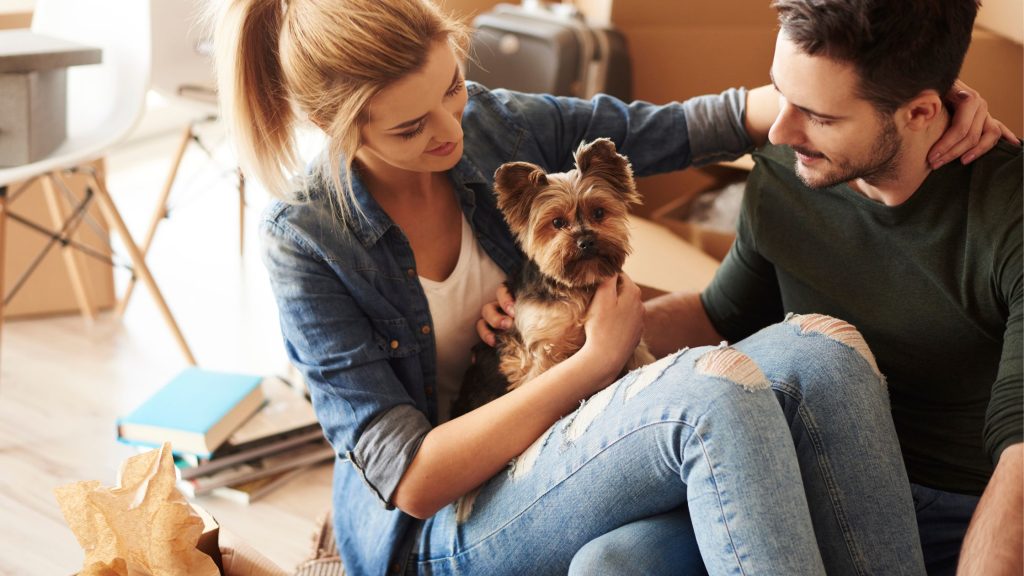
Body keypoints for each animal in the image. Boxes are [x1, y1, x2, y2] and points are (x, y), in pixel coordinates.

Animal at [456, 137, 655, 414]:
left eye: (599, 213)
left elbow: (641, 357)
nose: (586, 241)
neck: (577, 285)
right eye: (557, 222)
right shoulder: (542, 350)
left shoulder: (633, 343)